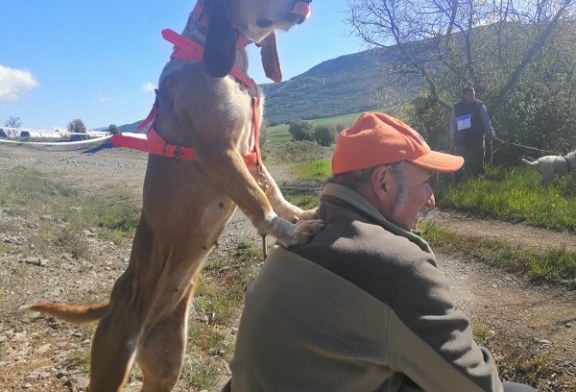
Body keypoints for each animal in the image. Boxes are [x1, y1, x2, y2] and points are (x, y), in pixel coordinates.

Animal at [22, 1, 322, 390]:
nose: (309, 6)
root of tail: (116, 300)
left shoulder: (249, 153)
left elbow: (273, 190)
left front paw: (299, 215)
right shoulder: (218, 151)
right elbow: (258, 199)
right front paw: (290, 232)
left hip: (167, 366)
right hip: (113, 362)